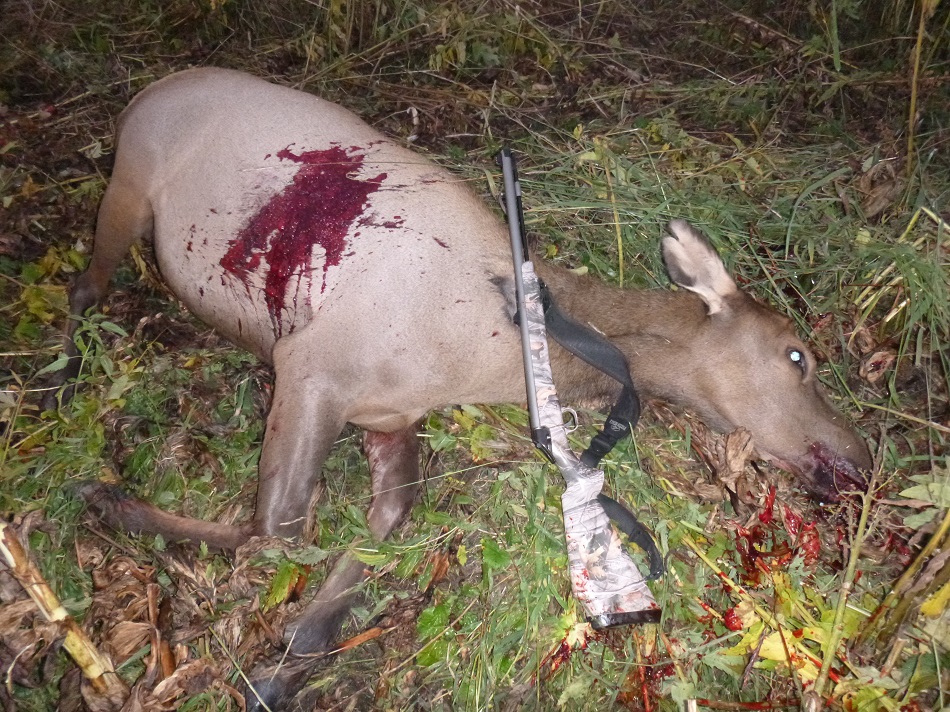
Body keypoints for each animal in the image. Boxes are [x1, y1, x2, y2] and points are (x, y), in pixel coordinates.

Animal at [45, 67, 871, 709]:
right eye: (797, 355)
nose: (863, 456)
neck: (490, 350)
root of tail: (151, 88)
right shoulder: (312, 361)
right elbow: (276, 529)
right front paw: (111, 501)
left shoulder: (388, 411)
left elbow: (382, 526)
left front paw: (289, 660)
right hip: (129, 182)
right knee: (85, 286)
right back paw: (63, 385)